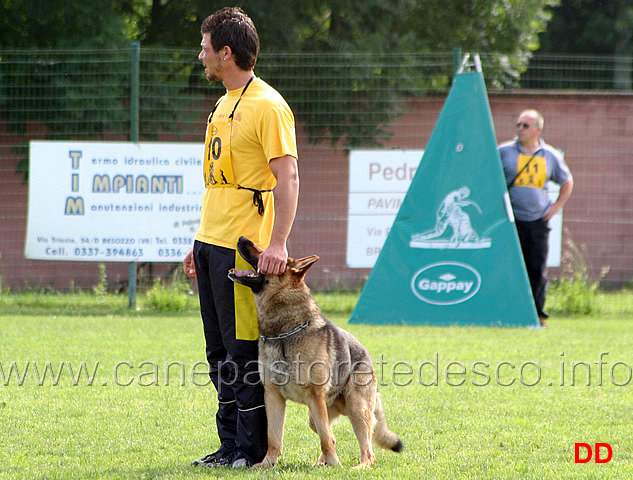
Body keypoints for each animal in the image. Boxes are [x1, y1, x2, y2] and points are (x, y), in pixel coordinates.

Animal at [230, 236, 402, 468]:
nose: (240, 238)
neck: (283, 332)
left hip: (355, 409)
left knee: (365, 450)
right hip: (315, 415)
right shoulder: (273, 396)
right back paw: (321, 464)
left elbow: (325, 439)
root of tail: (366, 354)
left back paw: (355, 467)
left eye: (265, 251)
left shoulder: (314, 396)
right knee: (331, 434)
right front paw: (267, 464)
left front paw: (336, 466)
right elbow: (274, 437)